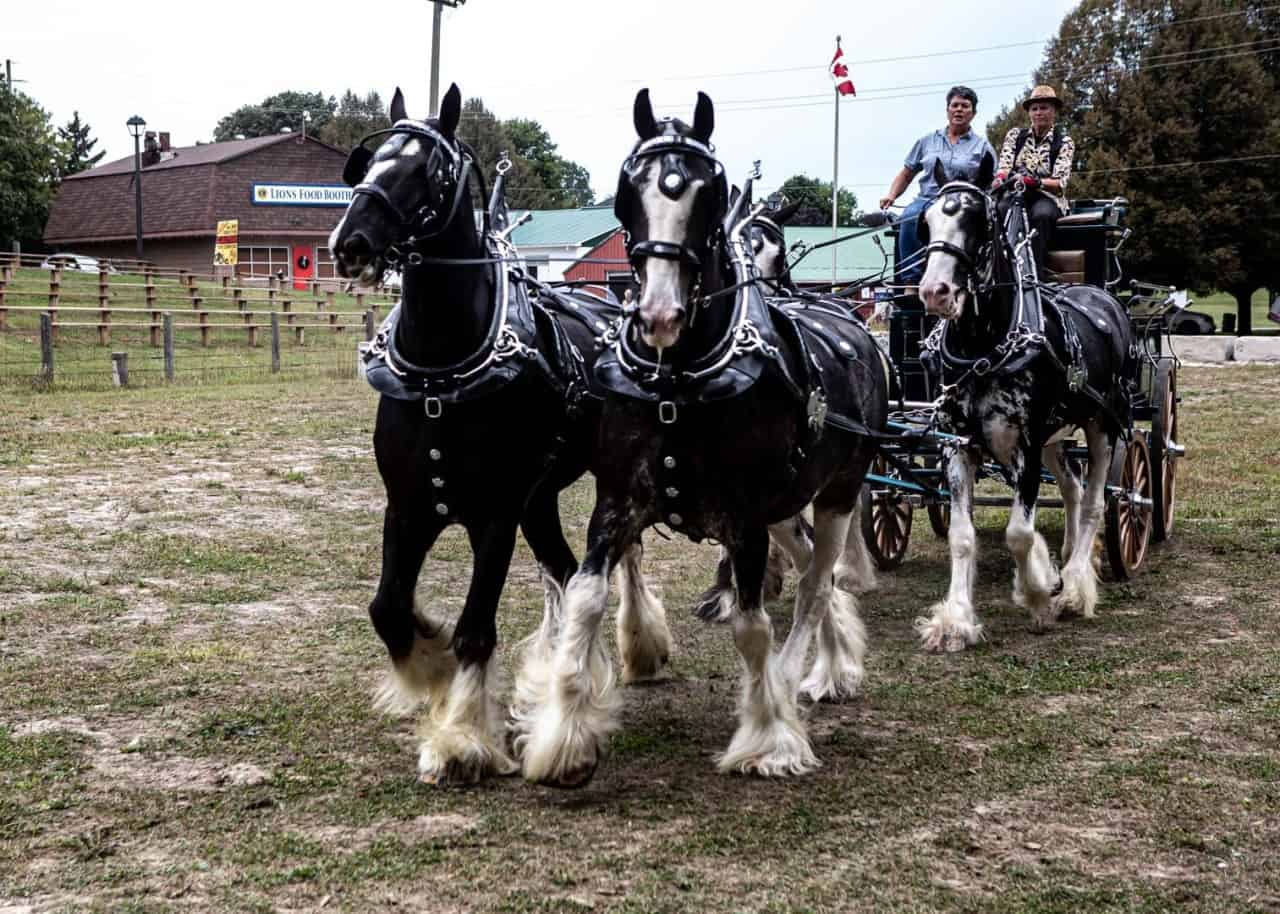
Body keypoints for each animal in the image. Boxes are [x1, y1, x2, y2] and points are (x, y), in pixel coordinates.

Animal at [330, 83, 670, 783]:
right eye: (368, 162)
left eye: (429, 170)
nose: (350, 242)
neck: (441, 372)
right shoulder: (408, 506)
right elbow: (388, 609)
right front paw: (429, 664)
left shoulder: (494, 515)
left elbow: (475, 627)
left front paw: (460, 737)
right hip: (539, 499)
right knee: (565, 571)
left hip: (604, 482)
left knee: (619, 558)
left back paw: (627, 656)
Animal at [512, 92, 890, 783]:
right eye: (626, 192)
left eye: (708, 194)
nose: (659, 314)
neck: (677, 382)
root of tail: (855, 327)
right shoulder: (617, 504)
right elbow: (584, 599)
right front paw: (565, 735)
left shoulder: (743, 519)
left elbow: (752, 627)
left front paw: (769, 737)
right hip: (785, 507)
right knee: (807, 572)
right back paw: (830, 664)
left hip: (840, 493)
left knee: (814, 588)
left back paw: (800, 677)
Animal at [916, 156, 1136, 650]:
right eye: (927, 221)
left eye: (977, 221)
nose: (935, 292)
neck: (984, 347)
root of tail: (1103, 296)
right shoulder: (958, 445)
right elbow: (961, 536)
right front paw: (955, 620)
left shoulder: (1026, 446)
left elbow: (1018, 532)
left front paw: (1038, 591)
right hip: (1057, 437)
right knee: (1073, 488)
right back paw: (1070, 558)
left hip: (1104, 424)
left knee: (1094, 501)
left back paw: (1074, 587)